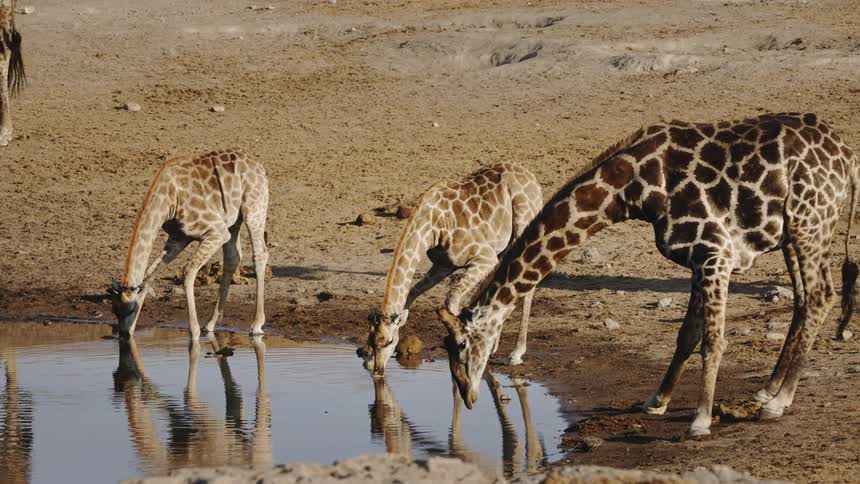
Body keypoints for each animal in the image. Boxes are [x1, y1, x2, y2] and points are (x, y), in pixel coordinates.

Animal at [109, 149, 269, 339]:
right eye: (114, 311)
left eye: (131, 309)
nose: (123, 335)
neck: (168, 200)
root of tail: (260, 167)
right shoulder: (178, 238)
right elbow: (149, 274)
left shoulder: (216, 231)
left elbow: (188, 271)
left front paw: (193, 332)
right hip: (233, 219)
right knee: (233, 257)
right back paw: (210, 323)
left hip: (254, 209)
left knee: (260, 254)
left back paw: (257, 324)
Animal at [364, 162, 543, 376]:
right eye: (371, 341)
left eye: (390, 341)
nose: (377, 369)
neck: (431, 228)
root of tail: (532, 178)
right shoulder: (443, 265)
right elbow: (412, 293)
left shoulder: (484, 257)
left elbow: (452, 300)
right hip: (503, 245)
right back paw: (494, 346)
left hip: (522, 225)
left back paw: (516, 353)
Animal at [438, 113, 859, 437]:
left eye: (460, 346)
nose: (468, 395)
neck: (634, 187)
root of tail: (848, 157)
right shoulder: (699, 258)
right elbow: (687, 335)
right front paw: (657, 401)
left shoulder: (715, 254)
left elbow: (714, 341)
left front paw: (700, 421)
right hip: (795, 233)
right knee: (804, 299)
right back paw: (768, 391)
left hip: (809, 225)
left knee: (821, 295)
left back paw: (780, 402)